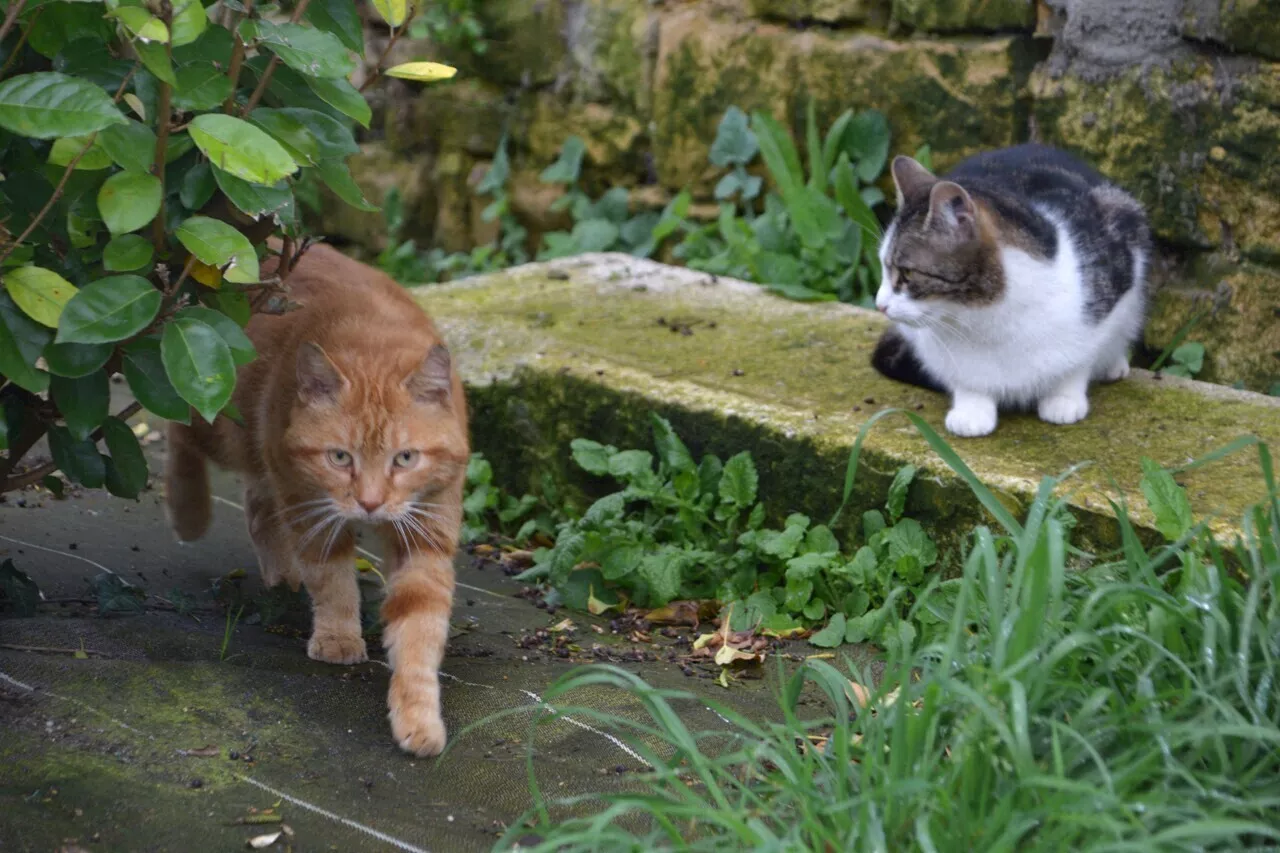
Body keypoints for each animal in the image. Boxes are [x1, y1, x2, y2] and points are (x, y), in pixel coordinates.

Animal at [165, 242, 471, 753]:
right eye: (340, 457)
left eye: (405, 458)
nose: (369, 504)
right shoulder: (312, 509)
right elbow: (332, 580)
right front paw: (339, 637)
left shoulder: (426, 532)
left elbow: (419, 629)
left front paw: (418, 717)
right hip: (224, 423)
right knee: (176, 424)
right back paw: (188, 512)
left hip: (262, 457)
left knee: (257, 506)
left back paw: (282, 574)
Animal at [870, 142, 1152, 435]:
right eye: (883, 267)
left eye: (907, 273)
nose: (879, 304)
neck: (984, 319)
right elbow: (966, 378)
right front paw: (972, 410)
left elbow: (1079, 362)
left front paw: (1064, 398)